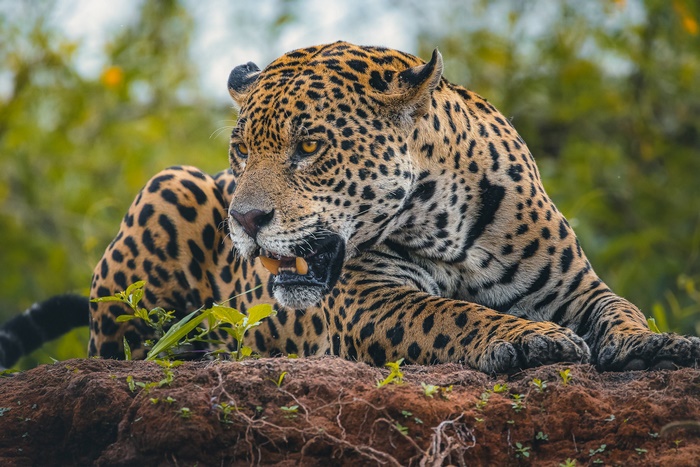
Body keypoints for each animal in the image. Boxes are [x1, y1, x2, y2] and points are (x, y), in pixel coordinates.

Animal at [2, 41, 699, 373]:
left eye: (309, 146)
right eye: (241, 151)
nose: (244, 221)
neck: (447, 225)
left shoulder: (573, 285)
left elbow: (619, 307)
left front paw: (655, 342)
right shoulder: (367, 302)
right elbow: (449, 315)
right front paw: (529, 339)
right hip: (167, 189)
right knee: (128, 353)